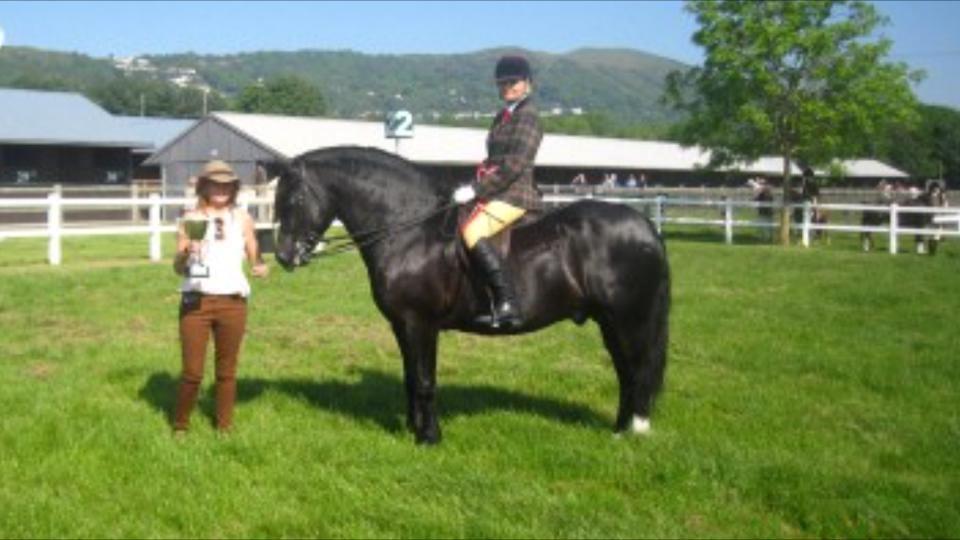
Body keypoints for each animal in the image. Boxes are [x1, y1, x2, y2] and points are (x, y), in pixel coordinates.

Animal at [272, 146, 668, 446]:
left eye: (294, 197)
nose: (284, 257)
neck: (410, 230)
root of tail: (645, 226)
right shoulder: (402, 324)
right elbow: (410, 377)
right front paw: (413, 428)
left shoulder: (420, 323)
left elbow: (425, 380)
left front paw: (429, 437)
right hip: (610, 321)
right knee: (626, 372)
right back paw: (619, 431)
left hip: (628, 319)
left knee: (637, 370)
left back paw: (635, 430)